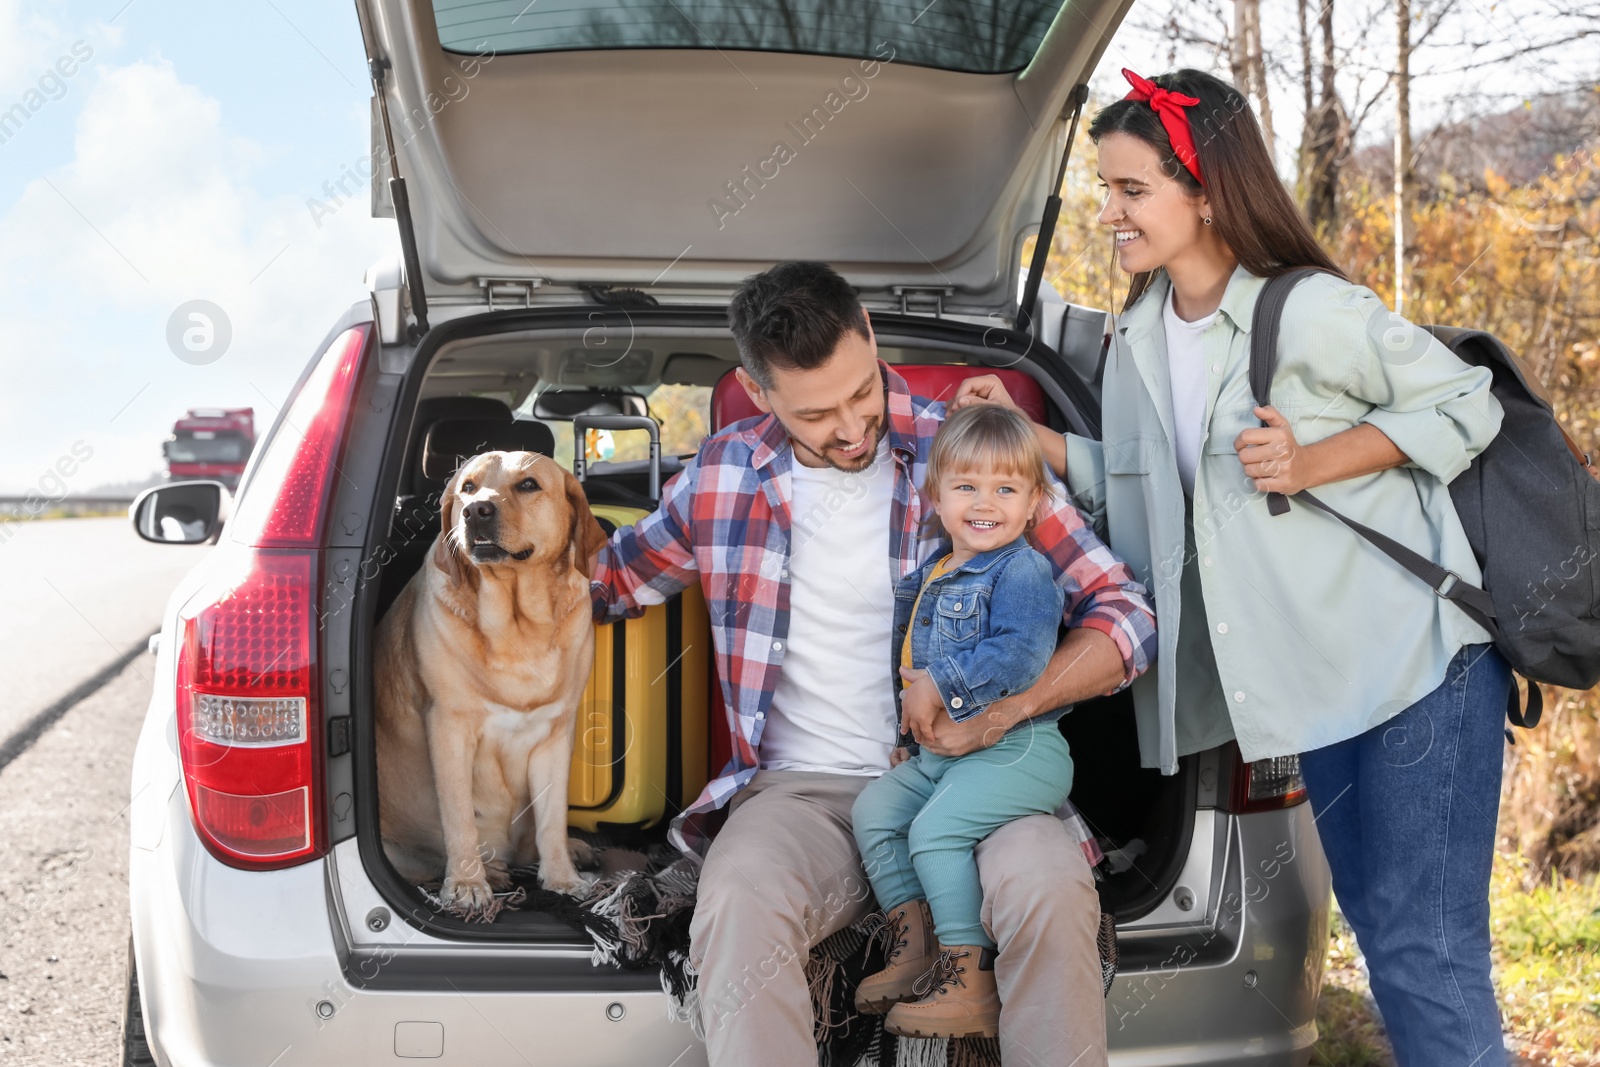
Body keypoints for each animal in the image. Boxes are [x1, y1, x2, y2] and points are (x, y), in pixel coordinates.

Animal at [374, 451, 611, 908]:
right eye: (468, 487)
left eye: (529, 485)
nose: (475, 511)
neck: (517, 626)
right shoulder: (449, 728)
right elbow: (459, 816)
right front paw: (468, 884)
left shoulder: (555, 735)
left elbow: (552, 819)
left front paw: (562, 878)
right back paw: (495, 871)